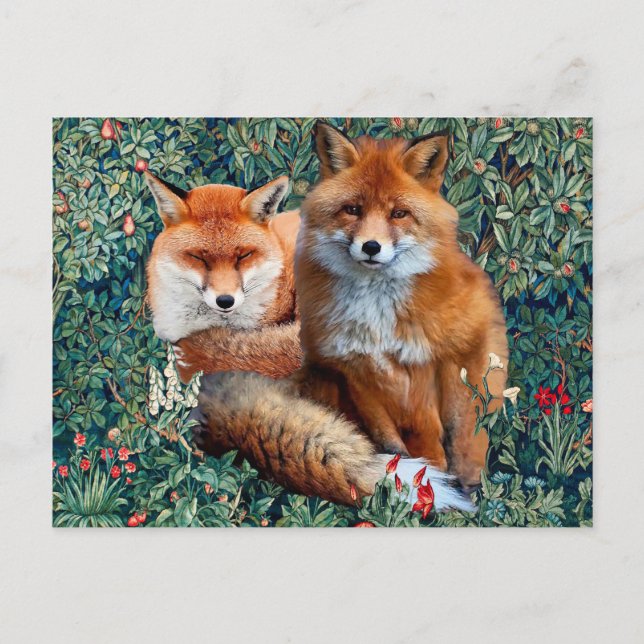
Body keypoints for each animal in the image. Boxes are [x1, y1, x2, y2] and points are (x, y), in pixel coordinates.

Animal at [194, 121, 506, 510]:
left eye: (398, 214)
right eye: (353, 209)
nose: (371, 247)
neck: (379, 317)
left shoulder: (453, 355)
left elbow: (457, 432)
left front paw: (460, 481)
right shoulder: (352, 369)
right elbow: (392, 443)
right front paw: (410, 483)